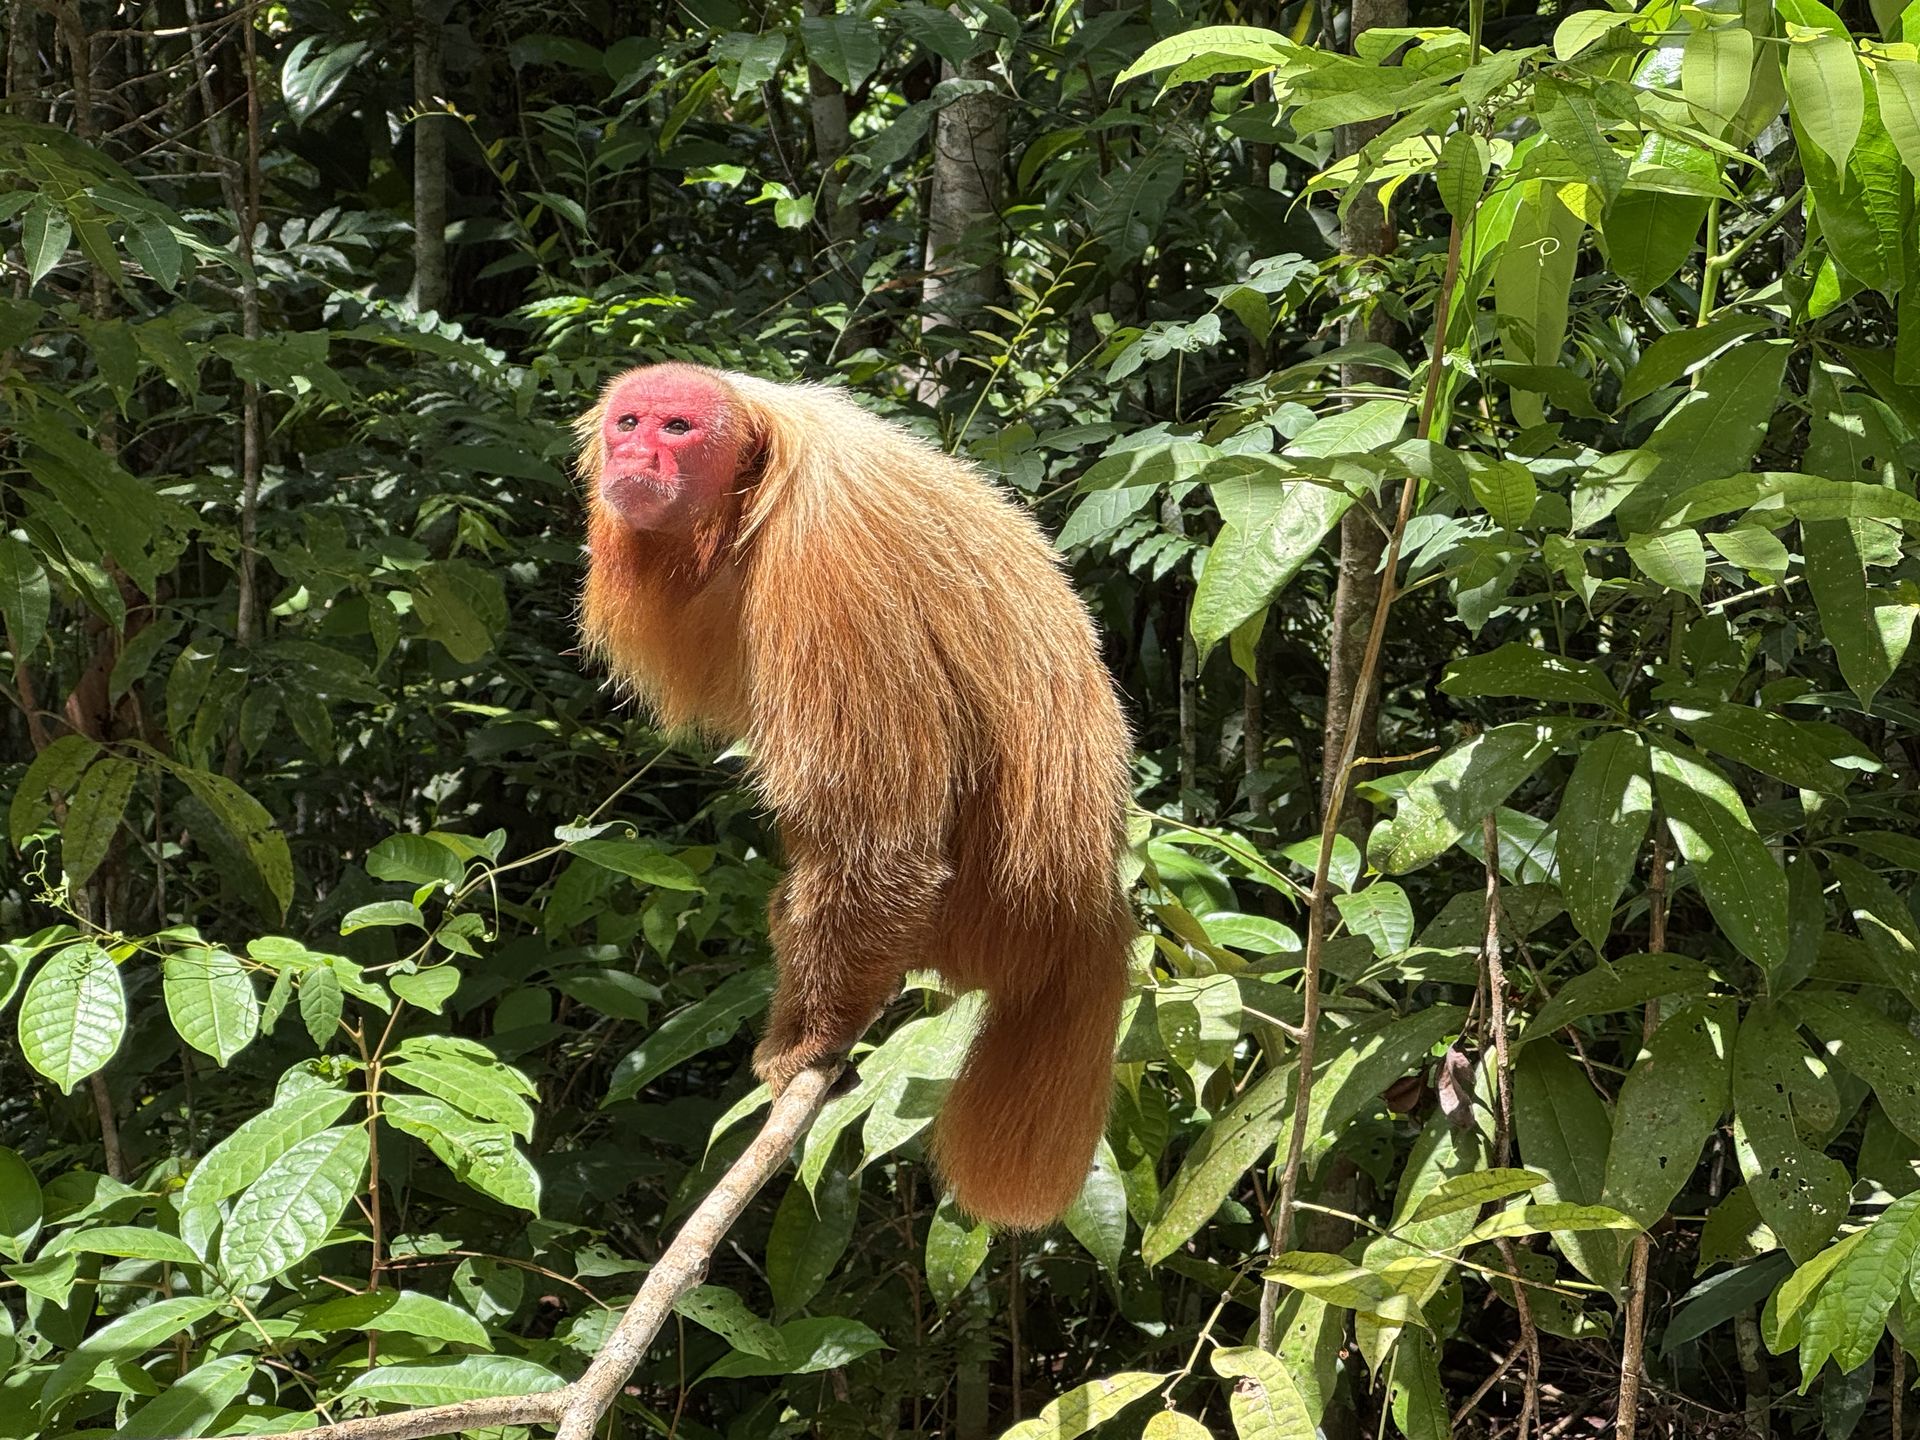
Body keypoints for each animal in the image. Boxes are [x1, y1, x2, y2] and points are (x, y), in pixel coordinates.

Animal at [575, 363, 1136, 1229]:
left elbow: (884, 841)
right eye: (629, 421)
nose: (636, 453)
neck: (750, 492)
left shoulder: (824, 563)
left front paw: (813, 1041)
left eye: (678, 429)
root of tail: (1086, 915)